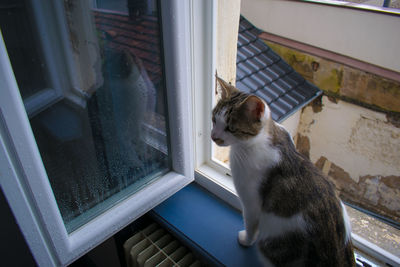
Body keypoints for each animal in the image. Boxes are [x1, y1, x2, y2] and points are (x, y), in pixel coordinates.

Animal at [211, 75, 354, 267]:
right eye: (214, 119)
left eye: (230, 128)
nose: (213, 137)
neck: (262, 140)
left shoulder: (251, 200)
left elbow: (251, 224)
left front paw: (246, 240)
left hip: (271, 246)